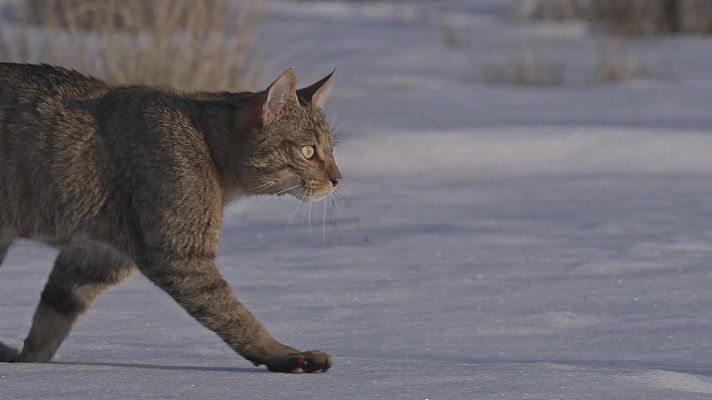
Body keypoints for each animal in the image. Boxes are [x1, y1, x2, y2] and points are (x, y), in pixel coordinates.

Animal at [0, 61, 342, 374]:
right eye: (309, 151)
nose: (337, 178)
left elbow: (51, 318)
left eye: (332, 149)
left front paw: (27, 362)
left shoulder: (94, 257)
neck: (206, 143)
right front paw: (284, 355)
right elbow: (234, 315)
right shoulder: (179, 253)